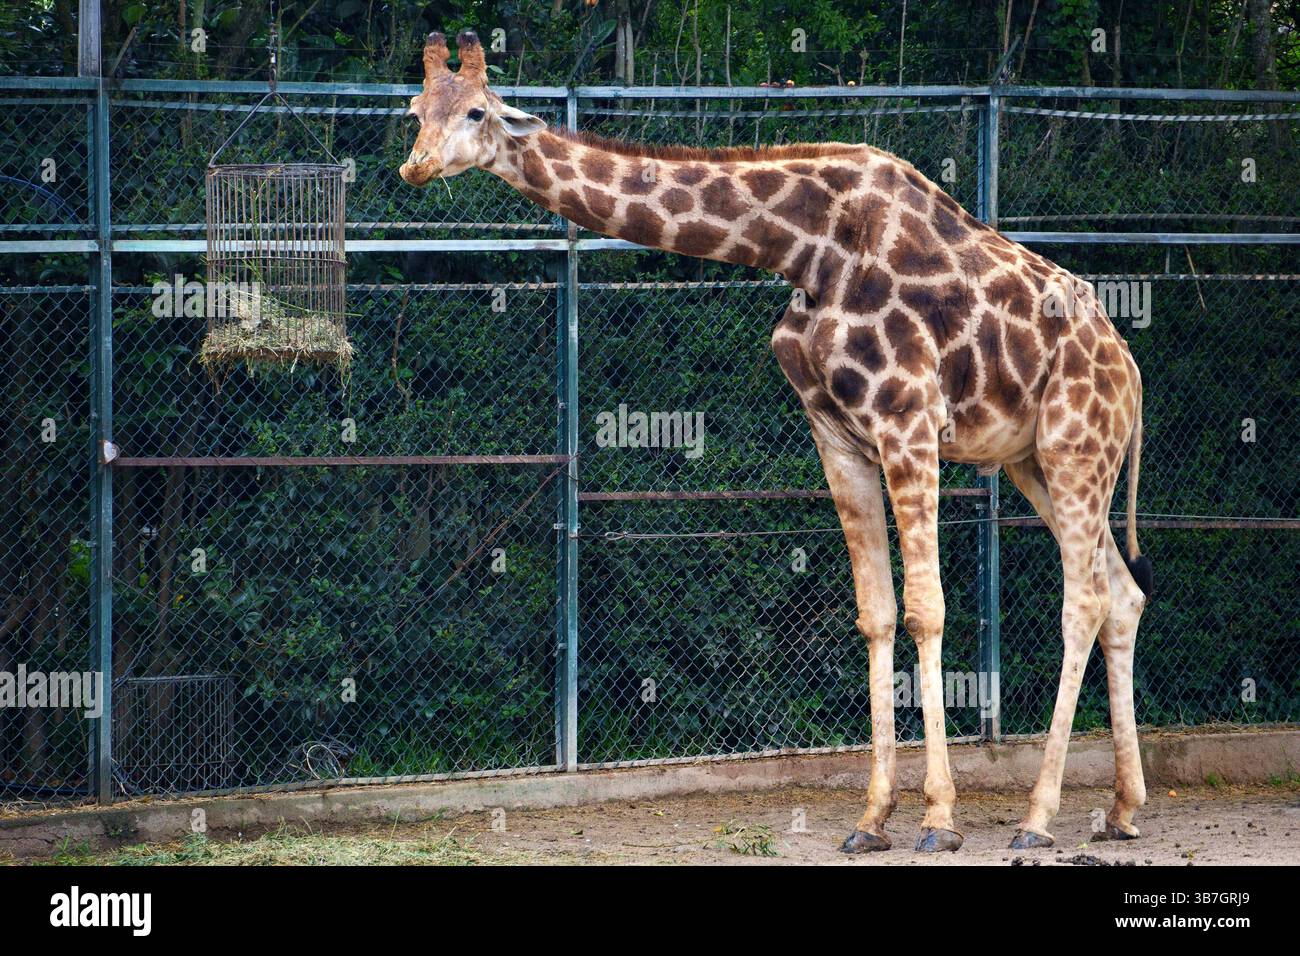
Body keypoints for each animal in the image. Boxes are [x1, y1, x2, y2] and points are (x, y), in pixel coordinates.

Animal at [400, 30, 1154, 853]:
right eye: (415, 109)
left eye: (476, 111)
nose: (415, 165)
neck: (803, 246)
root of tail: (1131, 372)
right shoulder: (838, 434)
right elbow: (876, 612)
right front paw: (871, 818)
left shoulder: (908, 421)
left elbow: (927, 609)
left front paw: (940, 819)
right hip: (1033, 463)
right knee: (1122, 592)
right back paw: (1122, 809)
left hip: (1076, 446)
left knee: (1084, 599)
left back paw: (1039, 819)